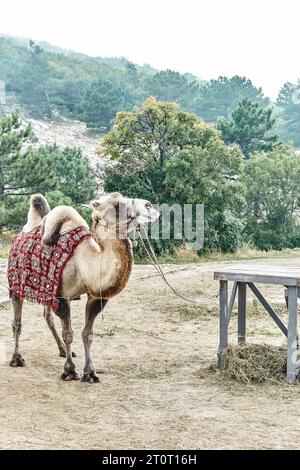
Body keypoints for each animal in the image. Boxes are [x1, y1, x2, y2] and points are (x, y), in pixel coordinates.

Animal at [9, 191, 159, 382]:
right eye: (117, 205)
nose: (149, 205)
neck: (84, 262)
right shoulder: (61, 296)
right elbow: (68, 333)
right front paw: (70, 371)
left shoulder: (96, 297)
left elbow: (88, 335)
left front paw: (90, 373)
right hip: (16, 285)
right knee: (17, 323)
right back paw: (17, 359)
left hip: (47, 289)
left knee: (47, 317)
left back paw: (62, 351)